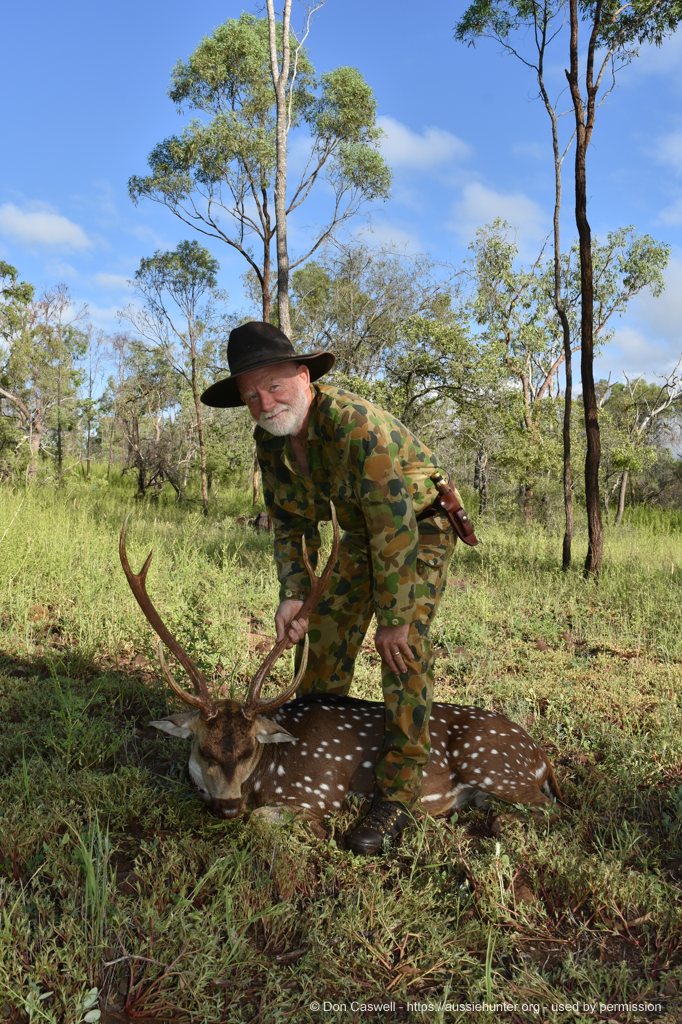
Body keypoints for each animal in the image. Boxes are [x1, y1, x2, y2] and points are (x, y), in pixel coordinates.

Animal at [119, 507, 561, 827]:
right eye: (203, 749)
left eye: (248, 749)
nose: (227, 807)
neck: (269, 773)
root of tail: (541, 756)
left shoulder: (319, 792)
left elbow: (263, 818)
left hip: (491, 763)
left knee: (547, 809)